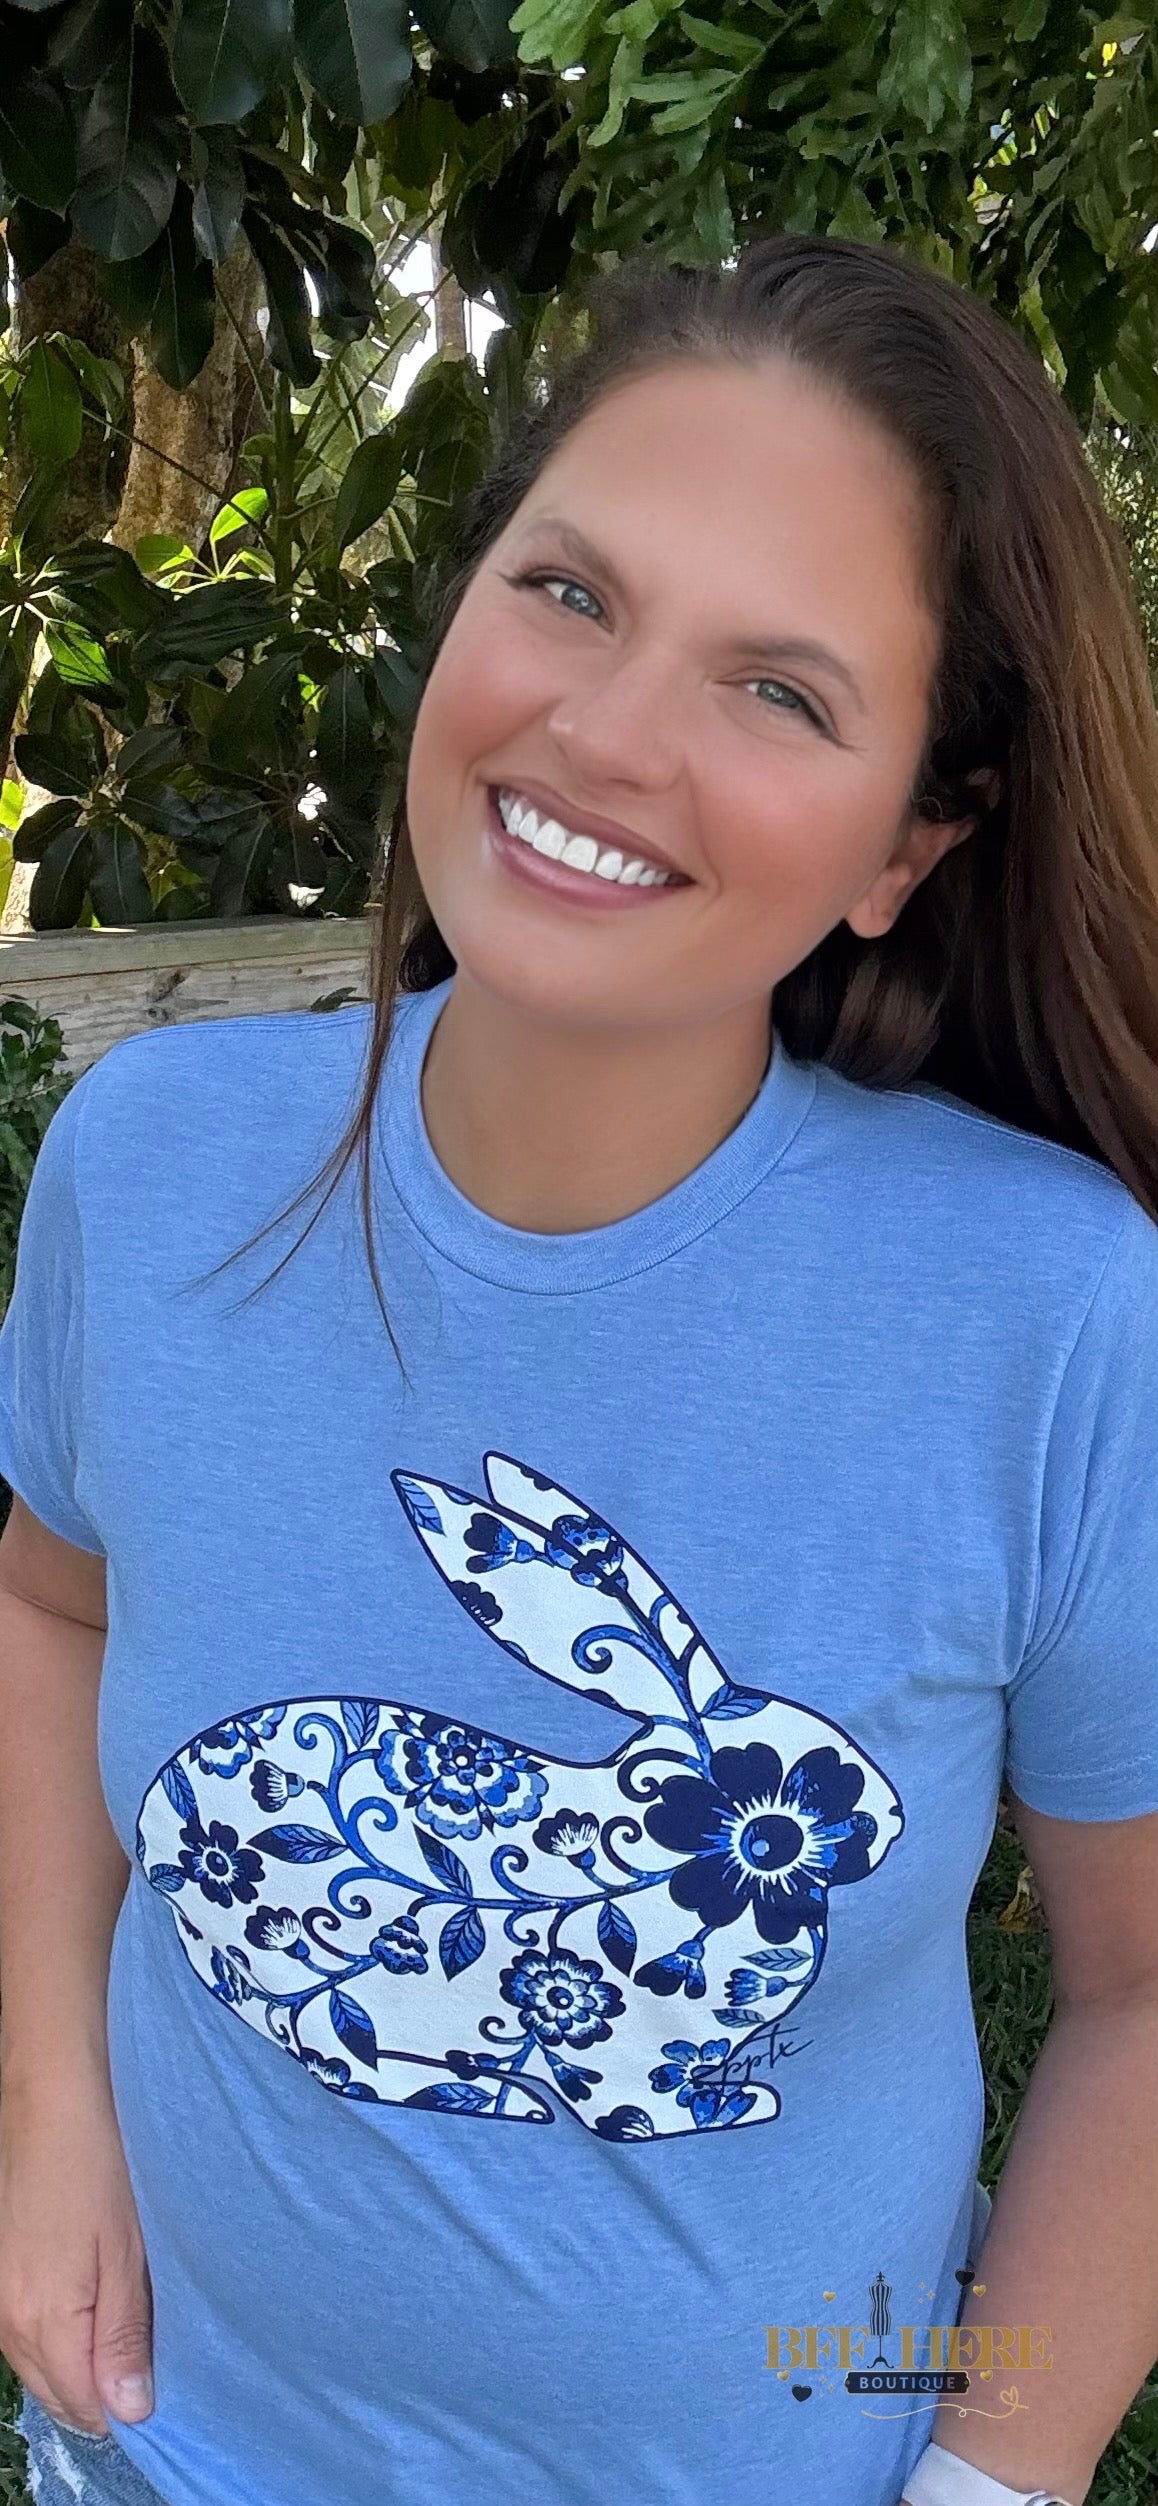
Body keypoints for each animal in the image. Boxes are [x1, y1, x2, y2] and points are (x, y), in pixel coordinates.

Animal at [136, 1453, 905, 2140]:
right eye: (786, 1780)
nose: (893, 1819)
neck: (671, 1849)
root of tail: (154, 1847)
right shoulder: (622, 2048)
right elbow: (637, 2106)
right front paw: (726, 2112)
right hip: (321, 1977)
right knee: (332, 2054)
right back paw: (494, 2100)